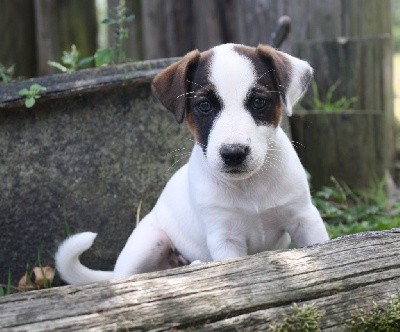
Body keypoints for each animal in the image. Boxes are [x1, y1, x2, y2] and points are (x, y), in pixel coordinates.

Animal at [54, 42, 328, 284]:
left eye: (259, 102)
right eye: (204, 105)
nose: (233, 153)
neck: (250, 187)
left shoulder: (305, 218)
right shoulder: (225, 239)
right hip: (148, 243)